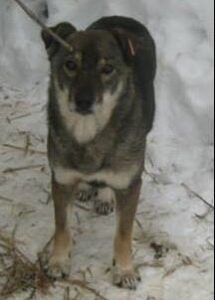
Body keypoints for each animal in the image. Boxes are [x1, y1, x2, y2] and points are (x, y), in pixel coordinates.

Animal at [41, 16, 156, 290]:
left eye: (108, 69)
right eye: (70, 64)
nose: (84, 101)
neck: (88, 132)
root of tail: (120, 18)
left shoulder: (129, 184)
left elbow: (123, 234)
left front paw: (124, 270)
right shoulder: (61, 180)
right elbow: (62, 226)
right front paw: (58, 262)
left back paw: (104, 196)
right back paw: (86, 188)